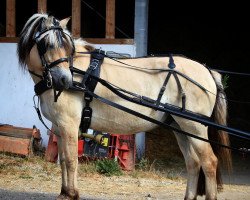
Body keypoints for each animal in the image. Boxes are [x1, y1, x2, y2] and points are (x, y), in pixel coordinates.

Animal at [17, 13, 232, 199]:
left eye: (67, 46)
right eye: (46, 44)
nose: (64, 80)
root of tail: (207, 70)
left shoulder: (69, 124)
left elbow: (71, 160)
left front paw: (71, 194)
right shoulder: (60, 127)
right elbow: (62, 160)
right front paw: (64, 192)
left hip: (194, 127)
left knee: (209, 162)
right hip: (180, 127)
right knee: (193, 163)